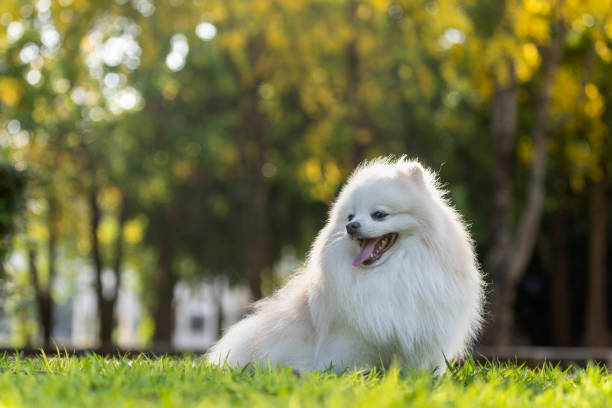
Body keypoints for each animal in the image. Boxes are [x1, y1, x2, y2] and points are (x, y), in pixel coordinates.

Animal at [206, 156, 482, 372]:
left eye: (379, 214)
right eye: (350, 216)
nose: (352, 226)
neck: (389, 272)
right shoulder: (349, 334)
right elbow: (352, 363)